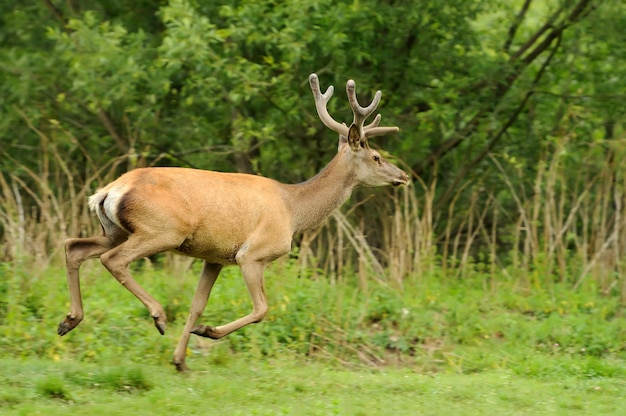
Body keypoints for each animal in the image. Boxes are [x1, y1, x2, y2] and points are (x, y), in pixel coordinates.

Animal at [57, 74, 410, 370]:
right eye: (377, 157)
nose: (403, 176)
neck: (293, 208)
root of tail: (109, 191)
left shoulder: (214, 258)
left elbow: (196, 304)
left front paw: (180, 360)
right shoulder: (252, 254)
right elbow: (262, 309)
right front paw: (206, 332)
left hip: (114, 230)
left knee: (74, 246)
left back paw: (69, 320)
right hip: (162, 230)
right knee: (112, 259)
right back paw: (157, 315)